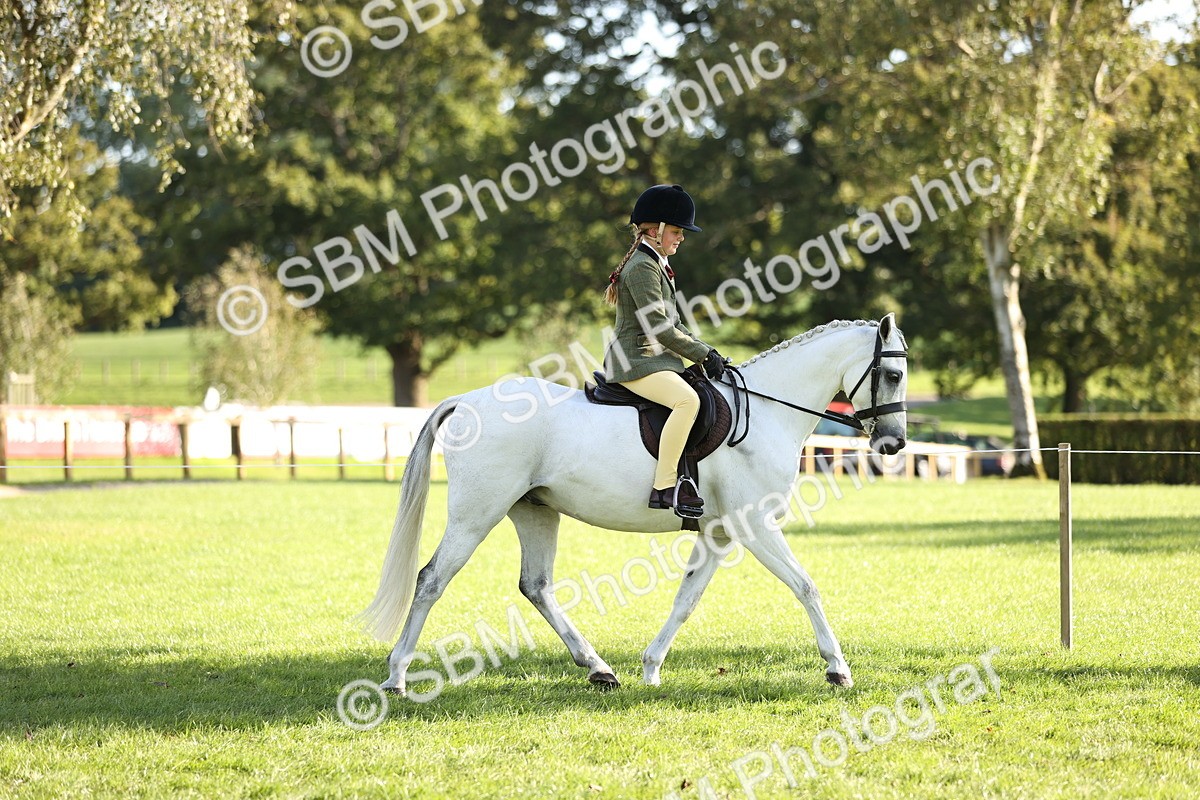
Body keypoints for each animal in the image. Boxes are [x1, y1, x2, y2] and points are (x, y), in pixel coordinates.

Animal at [360, 314, 909, 694]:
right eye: (894, 375)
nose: (896, 444)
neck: (769, 411)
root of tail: (468, 400)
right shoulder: (754, 526)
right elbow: (806, 587)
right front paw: (838, 670)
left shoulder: (719, 532)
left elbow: (686, 599)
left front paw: (651, 669)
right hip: (476, 515)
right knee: (431, 580)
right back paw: (396, 676)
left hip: (535, 510)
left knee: (536, 586)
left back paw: (599, 669)